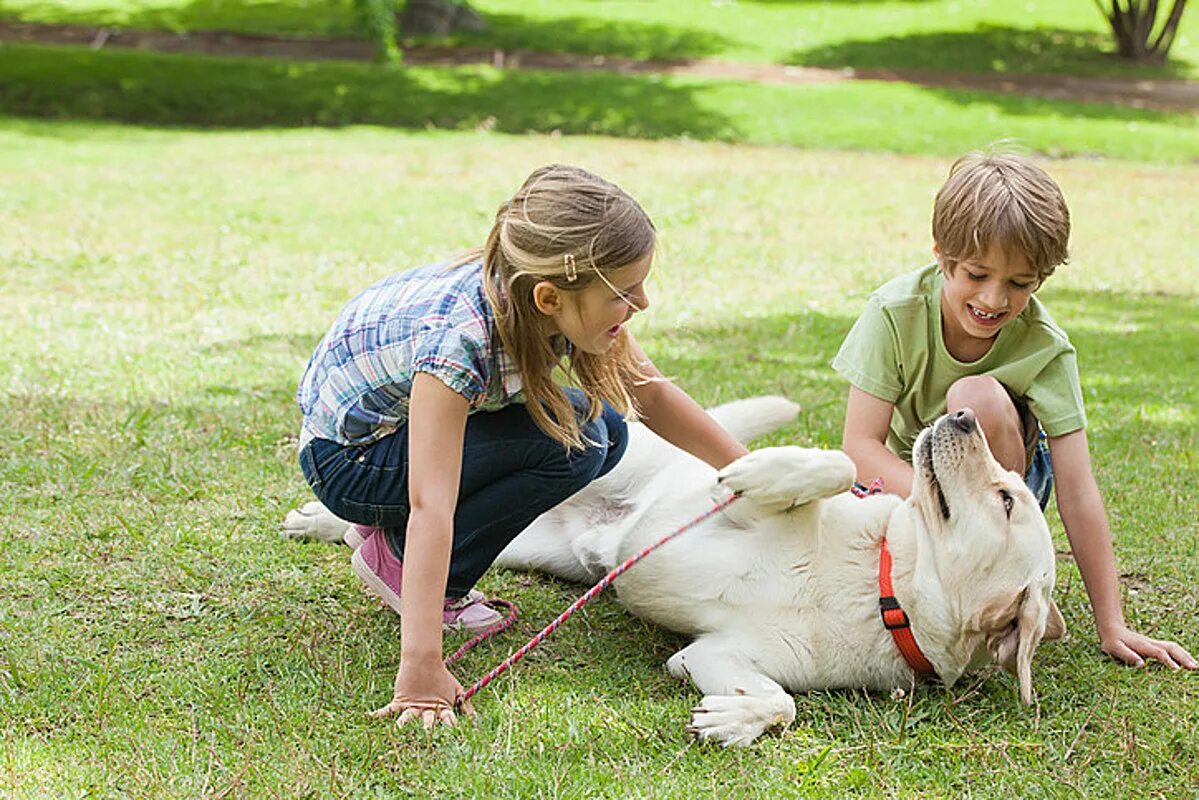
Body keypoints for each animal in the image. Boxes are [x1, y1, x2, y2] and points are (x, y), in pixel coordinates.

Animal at [282, 398, 1069, 748]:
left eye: (1007, 497)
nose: (963, 415)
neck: (881, 583)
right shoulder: (720, 505)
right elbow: (832, 463)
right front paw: (770, 469)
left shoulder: (712, 654)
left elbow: (781, 702)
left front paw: (732, 719)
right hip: (599, 456)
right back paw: (318, 521)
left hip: (536, 548)